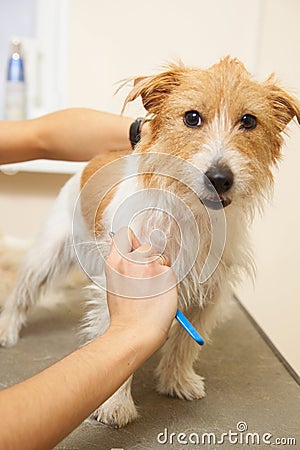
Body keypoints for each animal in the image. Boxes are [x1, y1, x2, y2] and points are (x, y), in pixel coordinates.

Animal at [0, 57, 300, 428]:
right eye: (191, 117)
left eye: (248, 121)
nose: (219, 178)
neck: (192, 211)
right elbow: (117, 339)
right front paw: (115, 404)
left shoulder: (210, 294)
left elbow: (186, 344)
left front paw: (176, 381)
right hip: (46, 255)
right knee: (21, 292)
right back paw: (7, 328)